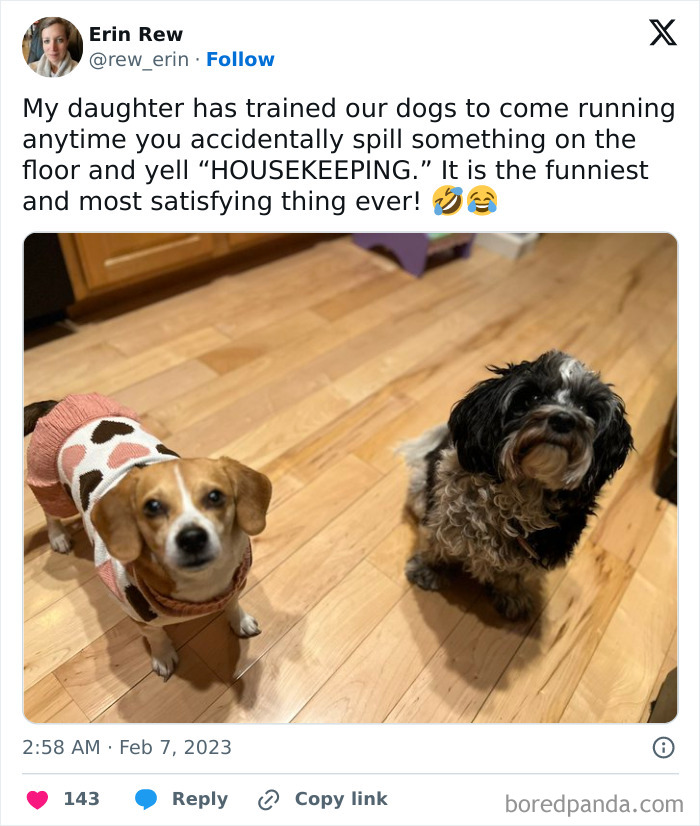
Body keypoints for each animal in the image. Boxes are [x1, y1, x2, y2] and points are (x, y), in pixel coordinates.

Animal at [24, 392, 272, 676]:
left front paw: (239, 621)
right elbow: (156, 635)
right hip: (49, 485)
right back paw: (58, 537)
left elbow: (232, 603)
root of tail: (59, 402)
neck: (201, 583)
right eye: (152, 507)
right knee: (50, 514)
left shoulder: (234, 586)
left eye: (215, 496)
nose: (192, 538)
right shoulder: (137, 615)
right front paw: (163, 656)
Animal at [400, 350, 636, 616]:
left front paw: (513, 598)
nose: (563, 419)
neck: (524, 490)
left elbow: (514, 575)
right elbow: (436, 544)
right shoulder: (442, 516)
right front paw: (428, 570)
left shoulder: (540, 552)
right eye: (533, 397)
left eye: (585, 407)